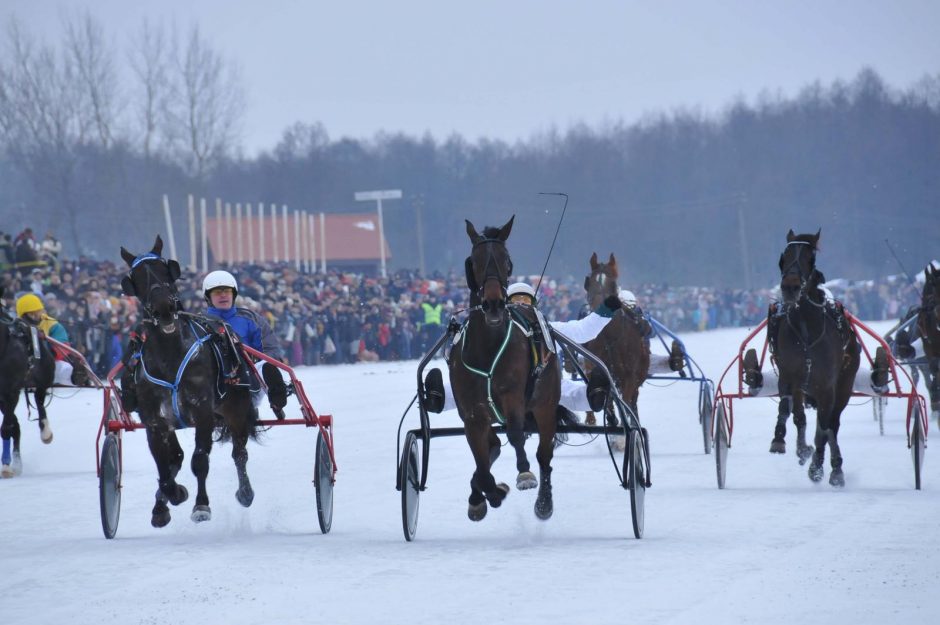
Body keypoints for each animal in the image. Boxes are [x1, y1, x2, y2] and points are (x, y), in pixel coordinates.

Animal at [0, 286, 56, 476]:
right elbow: (11, 425)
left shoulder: (11, 391)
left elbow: (6, 428)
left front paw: (6, 466)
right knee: (16, 424)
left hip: (44, 374)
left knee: (39, 400)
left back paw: (45, 432)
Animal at [122, 235, 260, 528]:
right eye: (136, 278)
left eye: (167, 270)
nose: (164, 308)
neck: (169, 357)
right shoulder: (154, 419)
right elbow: (164, 466)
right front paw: (170, 499)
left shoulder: (203, 410)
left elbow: (199, 461)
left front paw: (201, 505)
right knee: (175, 458)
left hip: (237, 409)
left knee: (239, 453)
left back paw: (245, 492)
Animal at [446, 217, 560, 520]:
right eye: (474, 261)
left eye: (506, 261)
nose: (495, 304)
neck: (486, 348)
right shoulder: (472, 414)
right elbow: (482, 464)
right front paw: (487, 494)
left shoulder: (513, 395)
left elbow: (516, 433)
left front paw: (524, 474)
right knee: (493, 447)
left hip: (545, 403)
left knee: (544, 454)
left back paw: (544, 501)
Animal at [764, 230, 860, 488]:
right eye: (784, 256)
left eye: (810, 258)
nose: (790, 286)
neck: (807, 330)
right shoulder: (791, 376)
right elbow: (792, 412)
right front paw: (783, 441)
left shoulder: (827, 387)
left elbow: (824, 430)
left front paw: (817, 467)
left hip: (844, 386)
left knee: (832, 425)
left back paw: (835, 468)